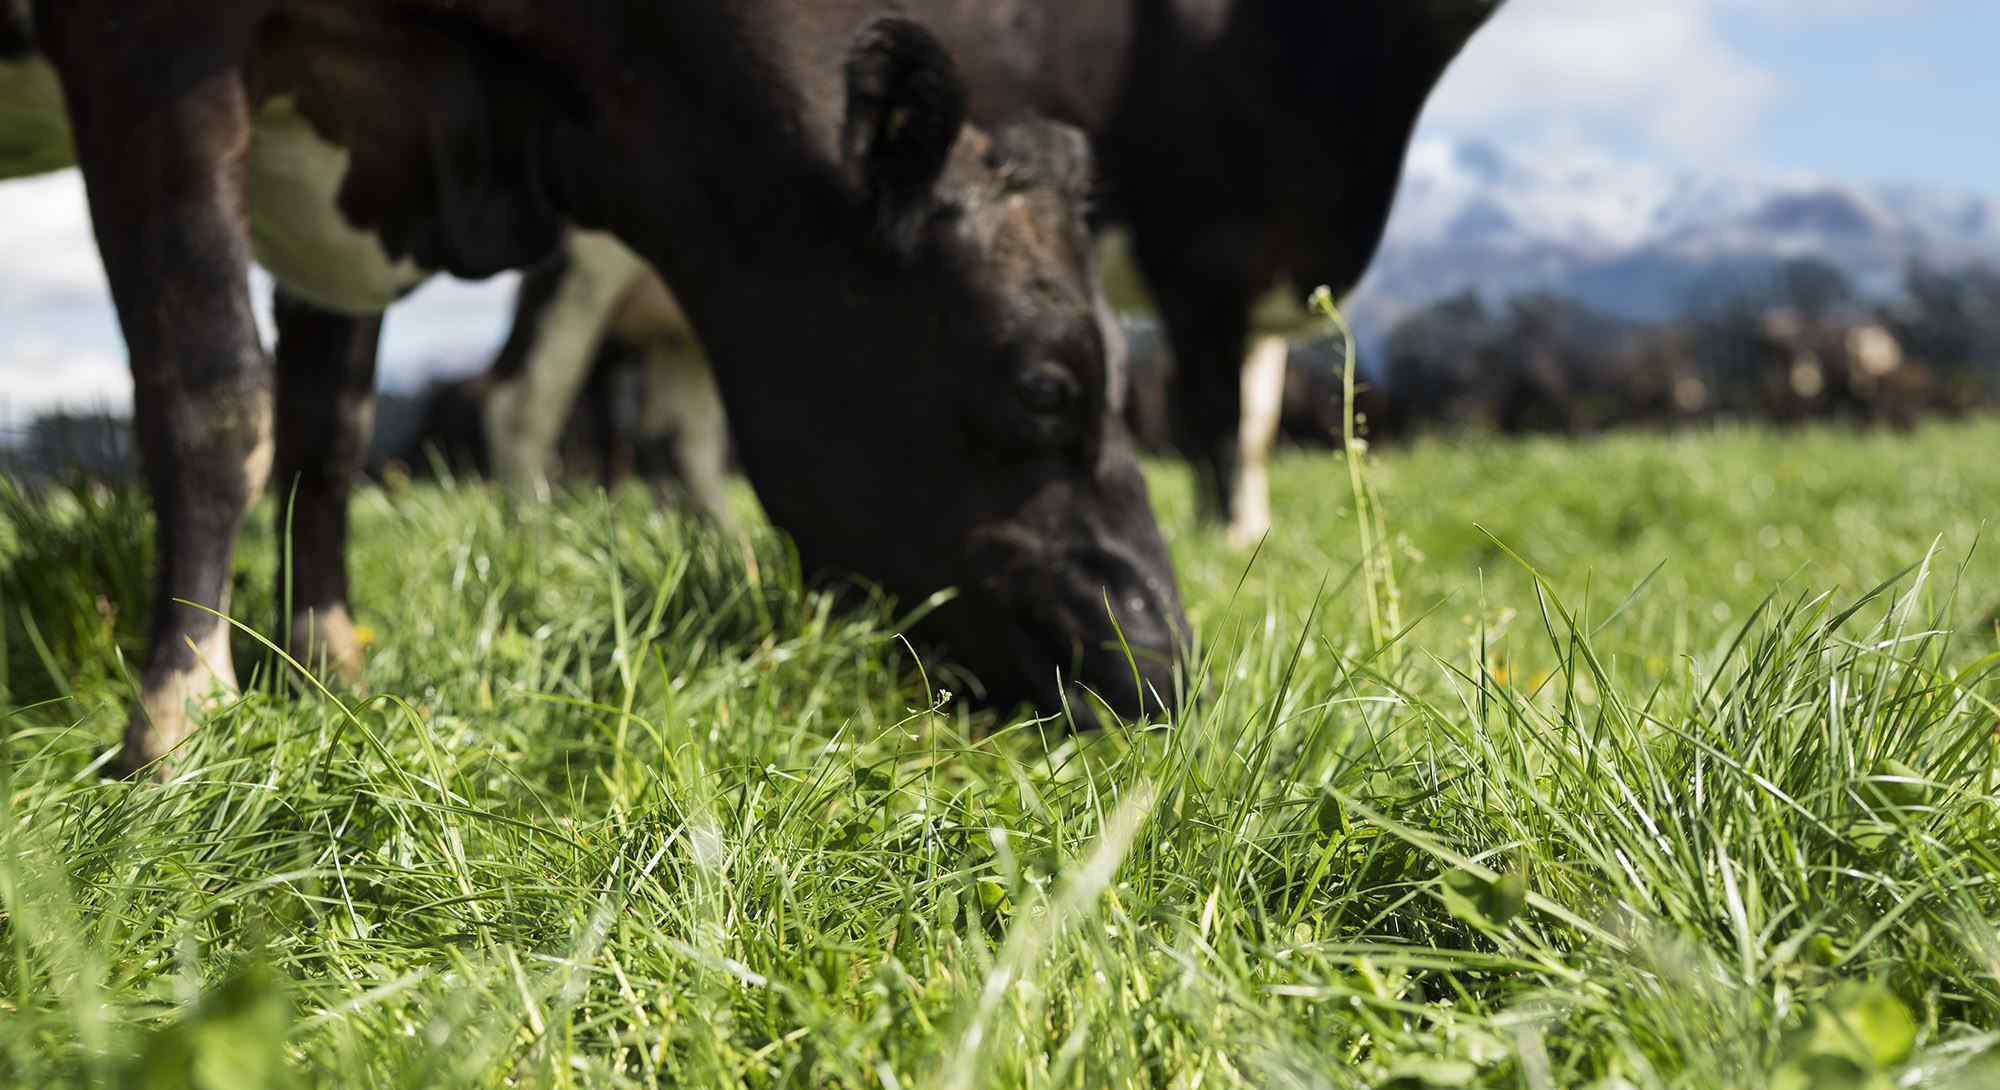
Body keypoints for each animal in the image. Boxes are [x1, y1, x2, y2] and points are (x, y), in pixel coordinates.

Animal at [3, 0, 1184, 772]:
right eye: (1045, 385)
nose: (1163, 662)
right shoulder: (156, 55)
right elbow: (215, 401)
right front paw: (177, 721)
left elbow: (325, 430)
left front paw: (330, 677)